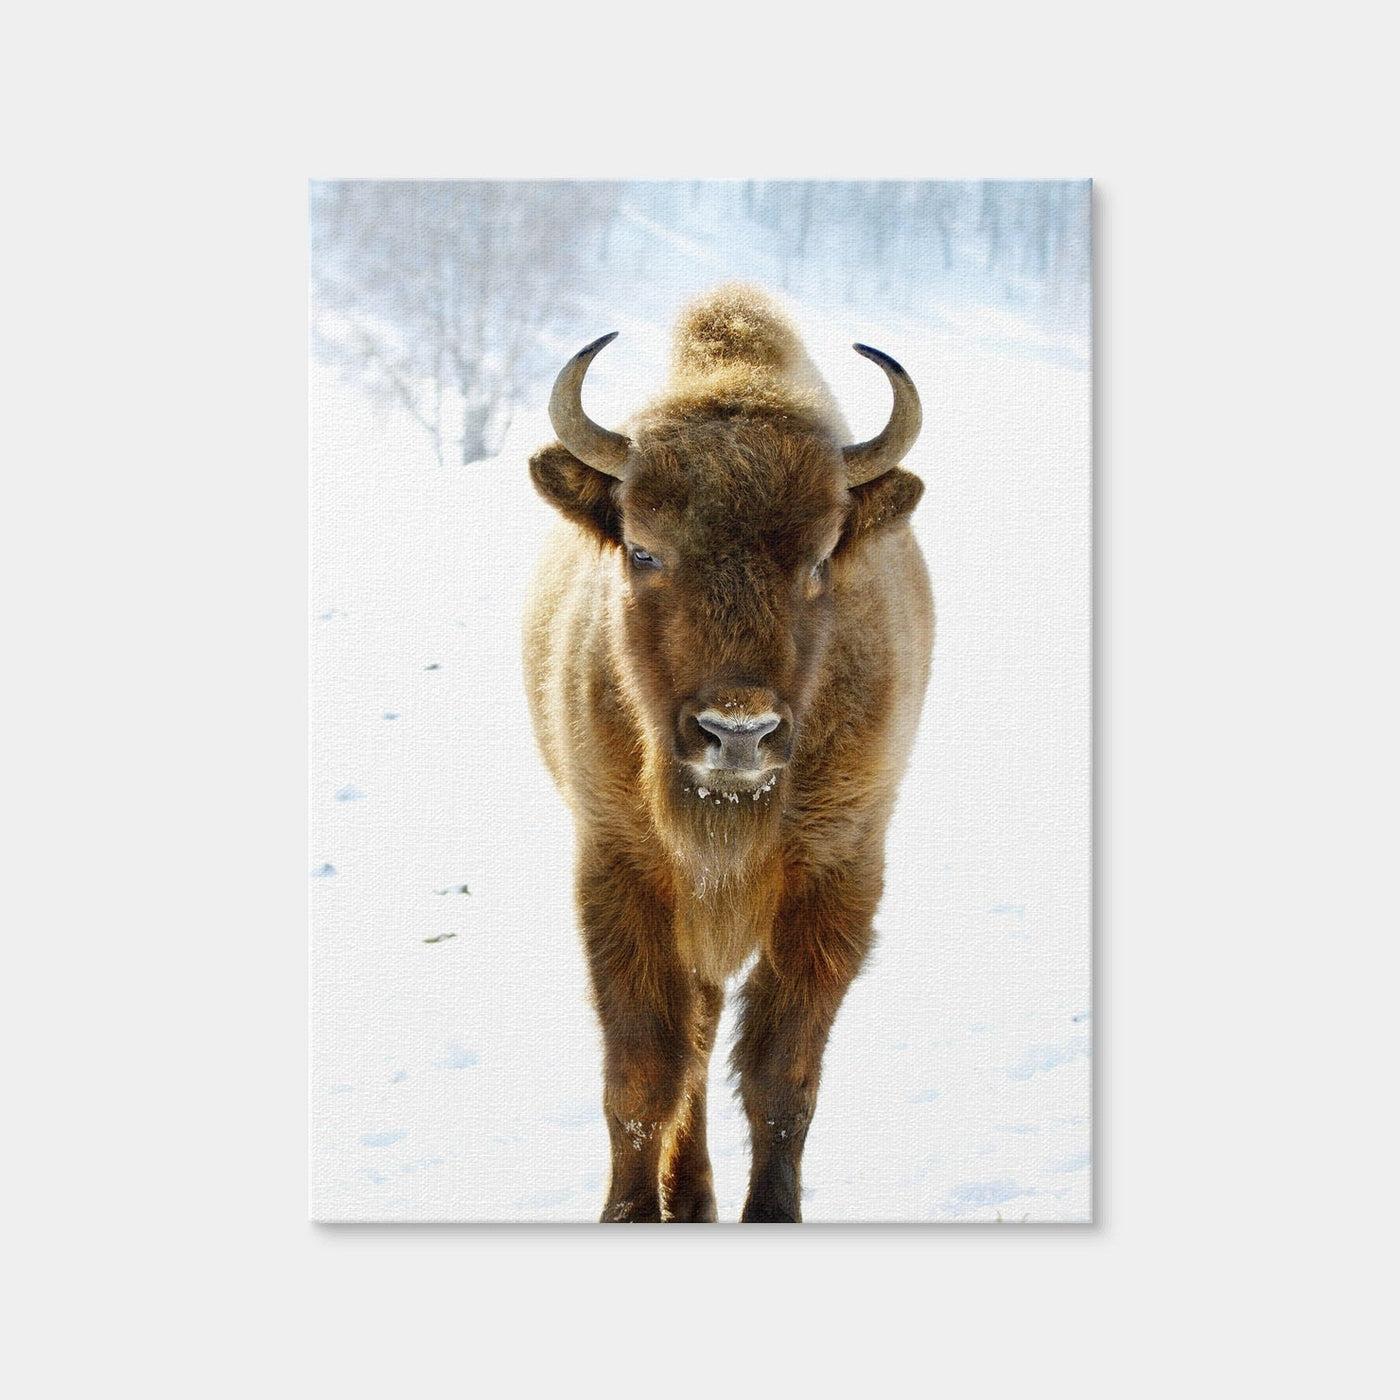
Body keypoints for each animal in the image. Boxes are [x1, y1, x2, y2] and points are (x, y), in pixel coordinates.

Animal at [523, 285, 933, 1221]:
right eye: (642, 549)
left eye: (820, 559)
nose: (737, 731)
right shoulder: (623, 869)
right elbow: (643, 1071)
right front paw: (631, 1214)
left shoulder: (836, 876)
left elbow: (783, 1079)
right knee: (694, 1044)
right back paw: (691, 1195)